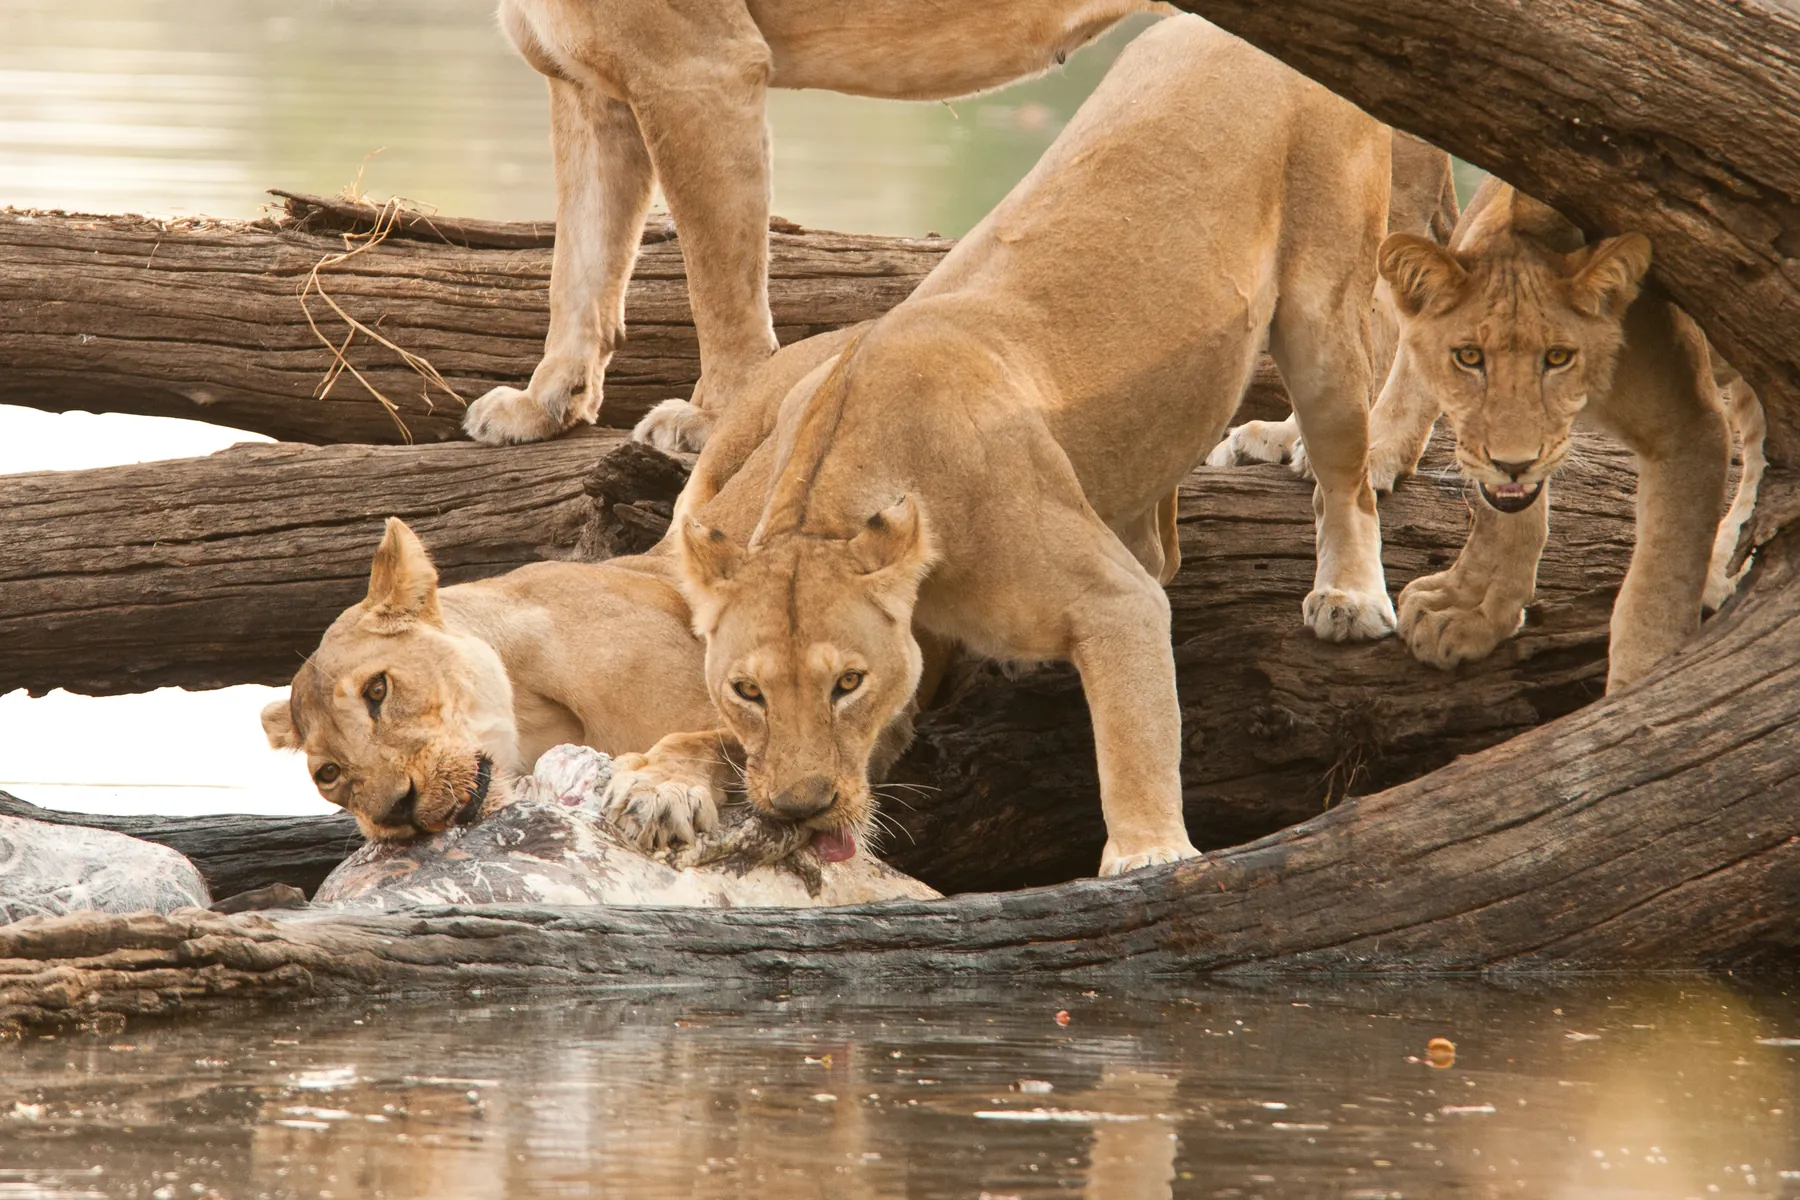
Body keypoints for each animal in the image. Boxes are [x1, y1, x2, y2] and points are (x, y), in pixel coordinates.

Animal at [460, 0, 1163, 454]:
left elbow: (719, 282)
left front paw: (716, 418)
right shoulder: (586, 84)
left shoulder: (699, 67)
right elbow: (580, 263)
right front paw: (546, 405)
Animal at [607, 16, 1402, 877]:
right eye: (747, 691)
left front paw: (1148, 852)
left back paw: (1349, 597)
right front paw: (661, 781)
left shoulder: (1115, 603)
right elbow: (712, 734)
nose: (801, 806)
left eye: (848, 682)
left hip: (1324, 316)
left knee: (1347, 475)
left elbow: (1134, 737)